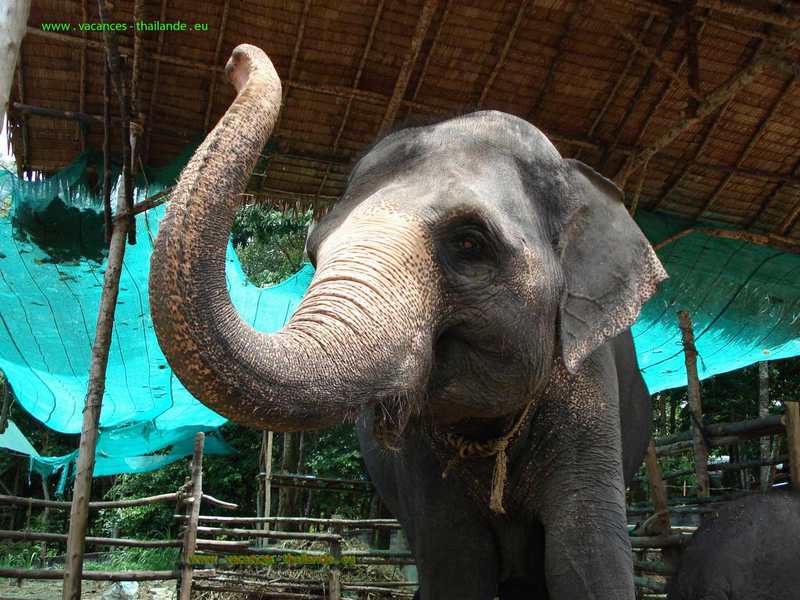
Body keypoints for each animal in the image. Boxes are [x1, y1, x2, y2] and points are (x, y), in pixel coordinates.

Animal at [150, 45, 668, 600]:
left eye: (469, 242)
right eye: (312, 253)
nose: (236, 59)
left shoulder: (589, 394)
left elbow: (590, 562)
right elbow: (455, 563)